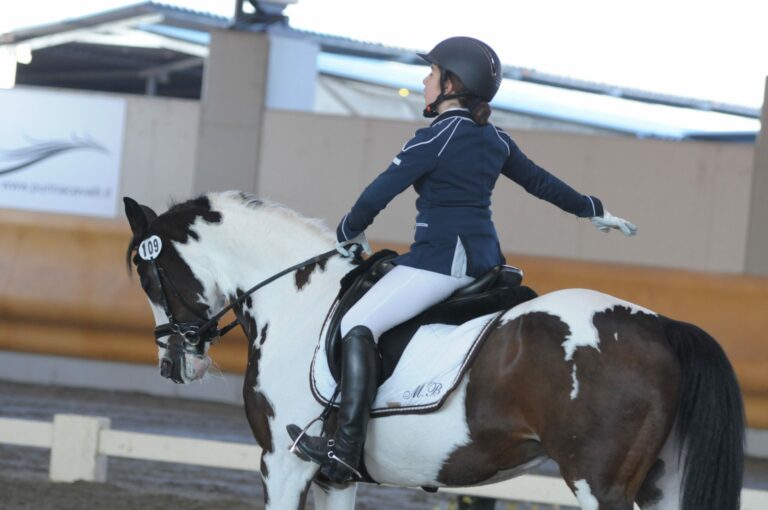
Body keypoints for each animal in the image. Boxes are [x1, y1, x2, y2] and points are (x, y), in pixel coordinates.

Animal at [124, 191, 744, 510]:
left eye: (149, 276)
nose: (172, 363)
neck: (298, 299)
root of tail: (661, 325)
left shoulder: (282, 462)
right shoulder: (333, 478)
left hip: (601, 487)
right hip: (661, 485)